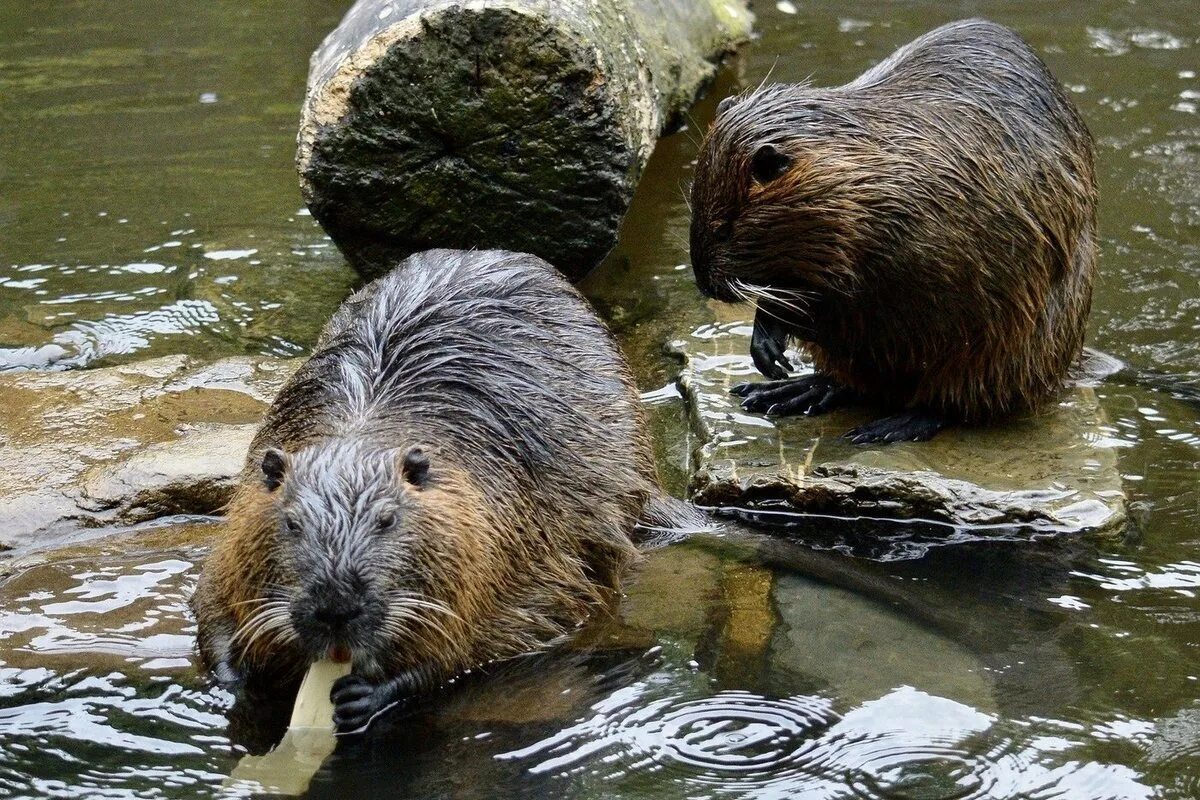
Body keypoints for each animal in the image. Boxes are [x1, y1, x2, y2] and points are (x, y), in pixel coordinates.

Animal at [189, 248, 700, 734]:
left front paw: (371, 695)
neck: (364, 429)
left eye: (388, 519)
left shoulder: (515, 544)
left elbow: (479, 642)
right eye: (292, 522)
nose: (335, 608)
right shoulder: (239, 527)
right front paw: (236, 678)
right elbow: (210, 601)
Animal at [686, 18, 1099, 443]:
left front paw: (775, 342)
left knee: (959, 397)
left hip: (1025, 346)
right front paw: (768, 351)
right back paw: (791, 392)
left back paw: (886, 426)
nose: (706, 285)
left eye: (724, 227)